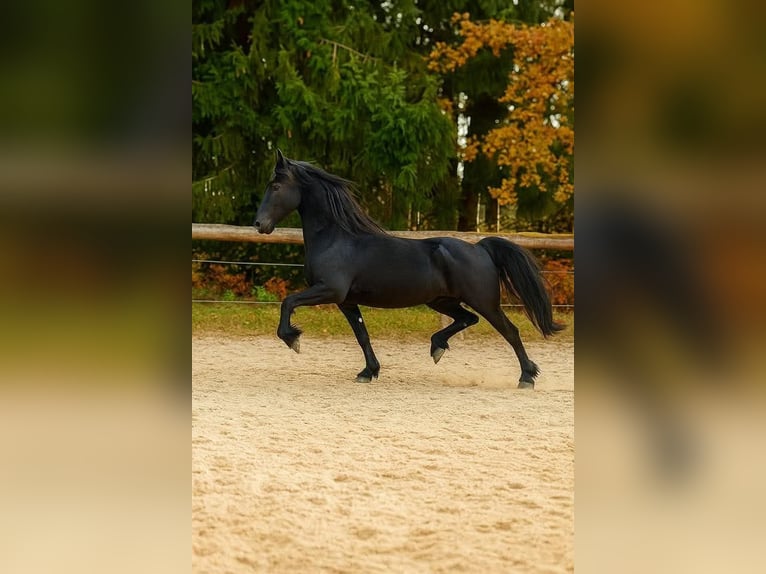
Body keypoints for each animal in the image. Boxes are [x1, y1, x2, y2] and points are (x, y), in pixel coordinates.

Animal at [254, 150, 564, 388]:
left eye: (276, 186)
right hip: (441, 301)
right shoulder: (346, 301)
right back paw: (437, 346)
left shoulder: (329, 290)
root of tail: (480, 248)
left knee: (510, 331)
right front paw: (369, 372)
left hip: (484, 302)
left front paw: (293, 339)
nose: (259, 224)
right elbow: (362, 335)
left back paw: (527, 377)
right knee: (468, 319)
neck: (336, 239)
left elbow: (288, 302)